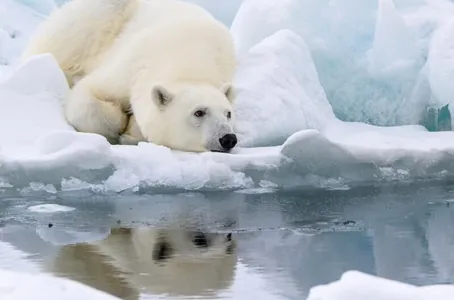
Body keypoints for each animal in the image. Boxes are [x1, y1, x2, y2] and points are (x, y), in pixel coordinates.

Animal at [22, 0, 238, 152]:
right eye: (198, 112)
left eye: (228, 113)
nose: (228, 138)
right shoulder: (132, 63)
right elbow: (88, 95)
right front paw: (120, 123)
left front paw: (132, 131)